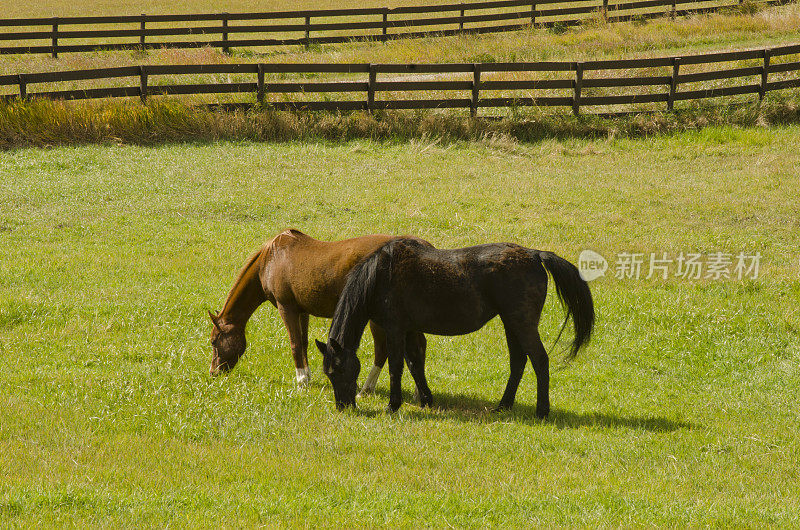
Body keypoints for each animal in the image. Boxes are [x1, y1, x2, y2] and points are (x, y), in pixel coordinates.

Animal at [209, 226, 428, 392]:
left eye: (213, 342)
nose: (213, 373)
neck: (271, 259)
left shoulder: (286, 308)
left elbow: (295, 345)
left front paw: (301, 382)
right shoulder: (302, 311)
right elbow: (304, 343)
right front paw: (306, 376)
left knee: (382, 350)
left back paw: (366, 389)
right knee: (418, 346)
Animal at [316, 237, 596, 414]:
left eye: (338, 370)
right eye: (328, 373)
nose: (343, 406)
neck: (381, 275)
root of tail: (534, 254)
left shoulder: (395, 328)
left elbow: (396, 366)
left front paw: (393, 405)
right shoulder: (410, 329)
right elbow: (414, 363)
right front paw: (426, 399)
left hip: (522, 323)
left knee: (539, 360)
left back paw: (542, 410)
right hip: (511, 323)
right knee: (518, 362)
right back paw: (503, 406)